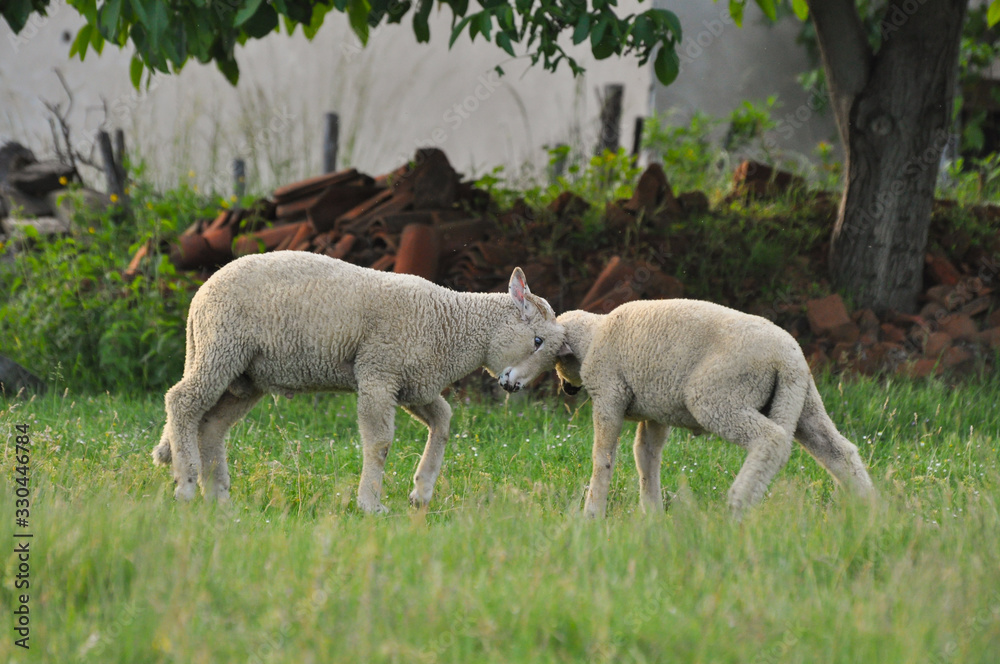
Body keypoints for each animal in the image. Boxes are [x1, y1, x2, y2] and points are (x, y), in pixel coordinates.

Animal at [151, 251, 565, 513]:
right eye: (537, 341)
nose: (515, 387)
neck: (452, 326)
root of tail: (200, 296)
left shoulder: (413, 384)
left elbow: (444, 421)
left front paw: (421, 491)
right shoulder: (378, 372)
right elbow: (379, 444)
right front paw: (370, 504)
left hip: (246, 376)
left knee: (211, 424)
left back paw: (218, 496)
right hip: (221, 347)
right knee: (182, 402)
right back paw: (186, 483)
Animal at [553, 300, 876, 518]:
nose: (565, 389)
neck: (594, 335)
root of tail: (788, 357)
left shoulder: (609, 393)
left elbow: (603, 458)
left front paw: (592, 515)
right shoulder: (656, 409)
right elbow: (646, 457)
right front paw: (652, 513)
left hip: (719, 396)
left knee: (771, 440)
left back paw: (737, 504)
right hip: (801, 398)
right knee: (838, 451)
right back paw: (869, 510)